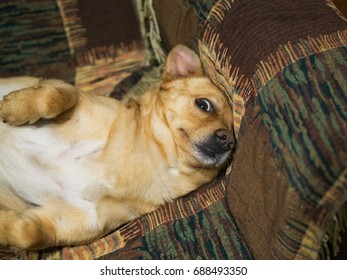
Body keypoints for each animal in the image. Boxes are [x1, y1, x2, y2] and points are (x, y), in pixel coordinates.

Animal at [0, 44, 234, 249]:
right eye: (203, 105)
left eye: (233, 135)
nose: (229, 140)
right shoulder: (73, 95)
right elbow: (53, 96)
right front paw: (14, 107)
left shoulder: (69, 221)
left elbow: (26, 233)